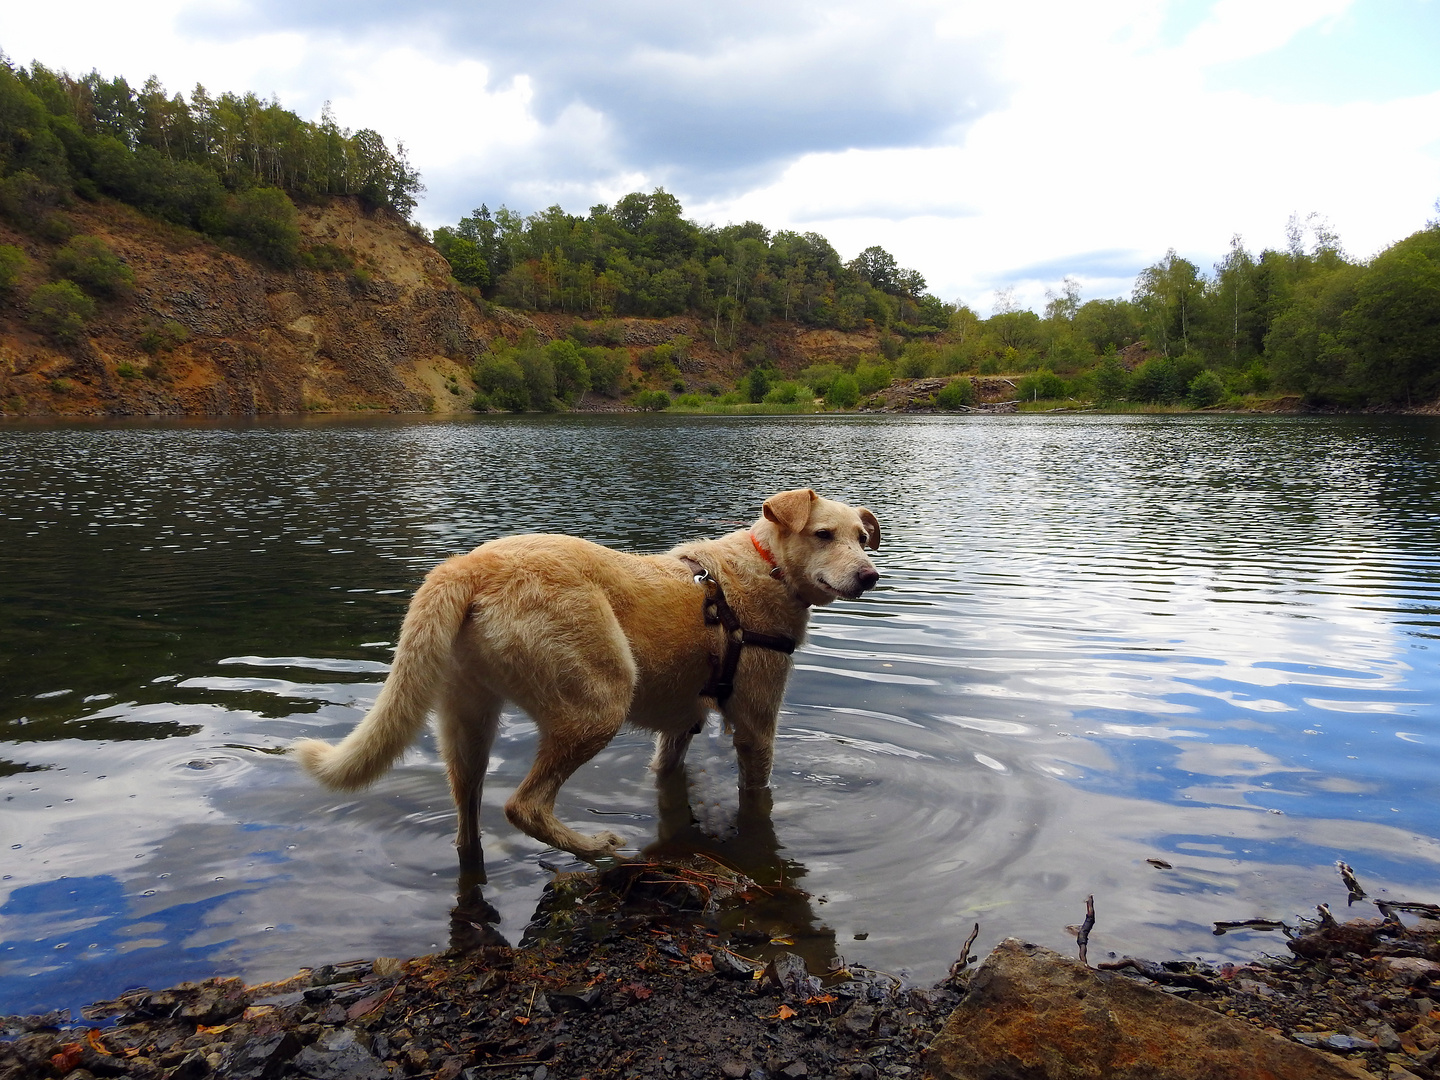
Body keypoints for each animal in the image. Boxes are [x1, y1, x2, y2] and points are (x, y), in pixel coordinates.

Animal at [290, 489, 875, 864]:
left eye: (860, 537)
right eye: (824, 534)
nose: (870, 576)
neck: (765, 567)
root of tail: (465, 567)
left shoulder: (679, 727)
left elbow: (666, 770)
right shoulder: (755, 724)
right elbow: (757, 790)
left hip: (466, 720)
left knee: (468, 815)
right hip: (598, 700)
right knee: (523, 805)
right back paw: (593, 848)